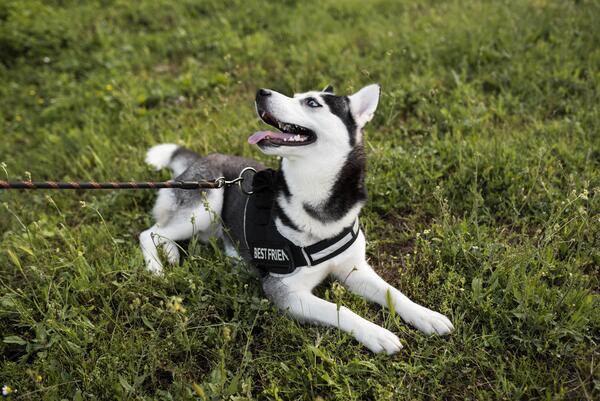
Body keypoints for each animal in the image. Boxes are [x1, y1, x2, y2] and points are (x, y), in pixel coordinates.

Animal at [138, 84, 452, 354]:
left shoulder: (354, 269)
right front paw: (377, 333)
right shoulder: (286, 292)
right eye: (297, 95)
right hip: (207, 201)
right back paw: (157, 268)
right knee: (149, 232)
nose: (261, 92)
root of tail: (201, 159)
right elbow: (340, 309)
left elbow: (393, 293)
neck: (316, 201)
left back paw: (172, 256)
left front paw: (426, 316)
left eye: (312, 102)